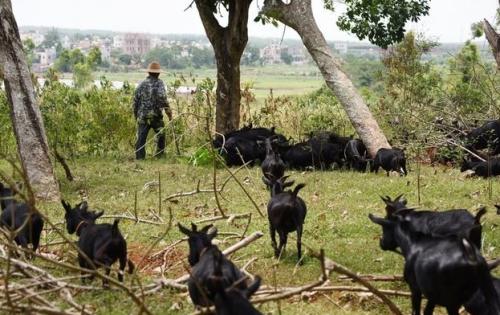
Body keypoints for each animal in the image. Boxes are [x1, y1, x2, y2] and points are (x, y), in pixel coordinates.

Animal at [370, 212, 500, 315]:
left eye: (384, 228)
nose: (382, 243)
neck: (412, 242)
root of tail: (472, 257)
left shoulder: (415, 288)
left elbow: (416, 311)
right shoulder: (432, 294)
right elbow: (427, 311)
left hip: (454, 301)